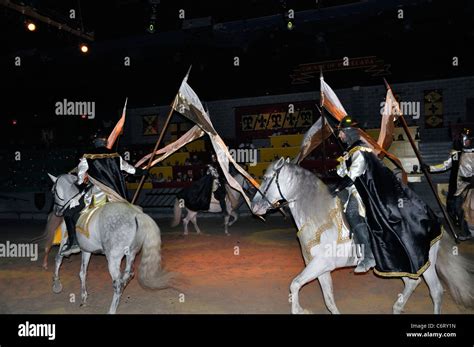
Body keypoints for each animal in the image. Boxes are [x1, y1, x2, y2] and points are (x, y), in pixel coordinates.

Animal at [47, 175, 170, 314]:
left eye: (53, 190)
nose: (57, 211)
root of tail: (137, 214)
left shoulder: (64, 244)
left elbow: (58, 259)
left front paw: (56, 285)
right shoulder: (86, 250)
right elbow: (82, 273)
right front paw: (83, 297)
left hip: (113, 258)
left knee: (117, 283)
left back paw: (111, 310)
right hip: (131, 254)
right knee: (128, 275)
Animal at [250, 158, 472, 316]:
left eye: (267, 178)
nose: (254, 207)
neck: (317, 215)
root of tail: (432, 217)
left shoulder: (320, 264)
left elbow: (295, 284)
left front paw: (299, 310)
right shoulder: (321, 268)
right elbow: (329, 301)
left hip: (425, 262)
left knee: (436, 291)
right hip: (400, 263)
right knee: (412, 283)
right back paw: (397, 307)